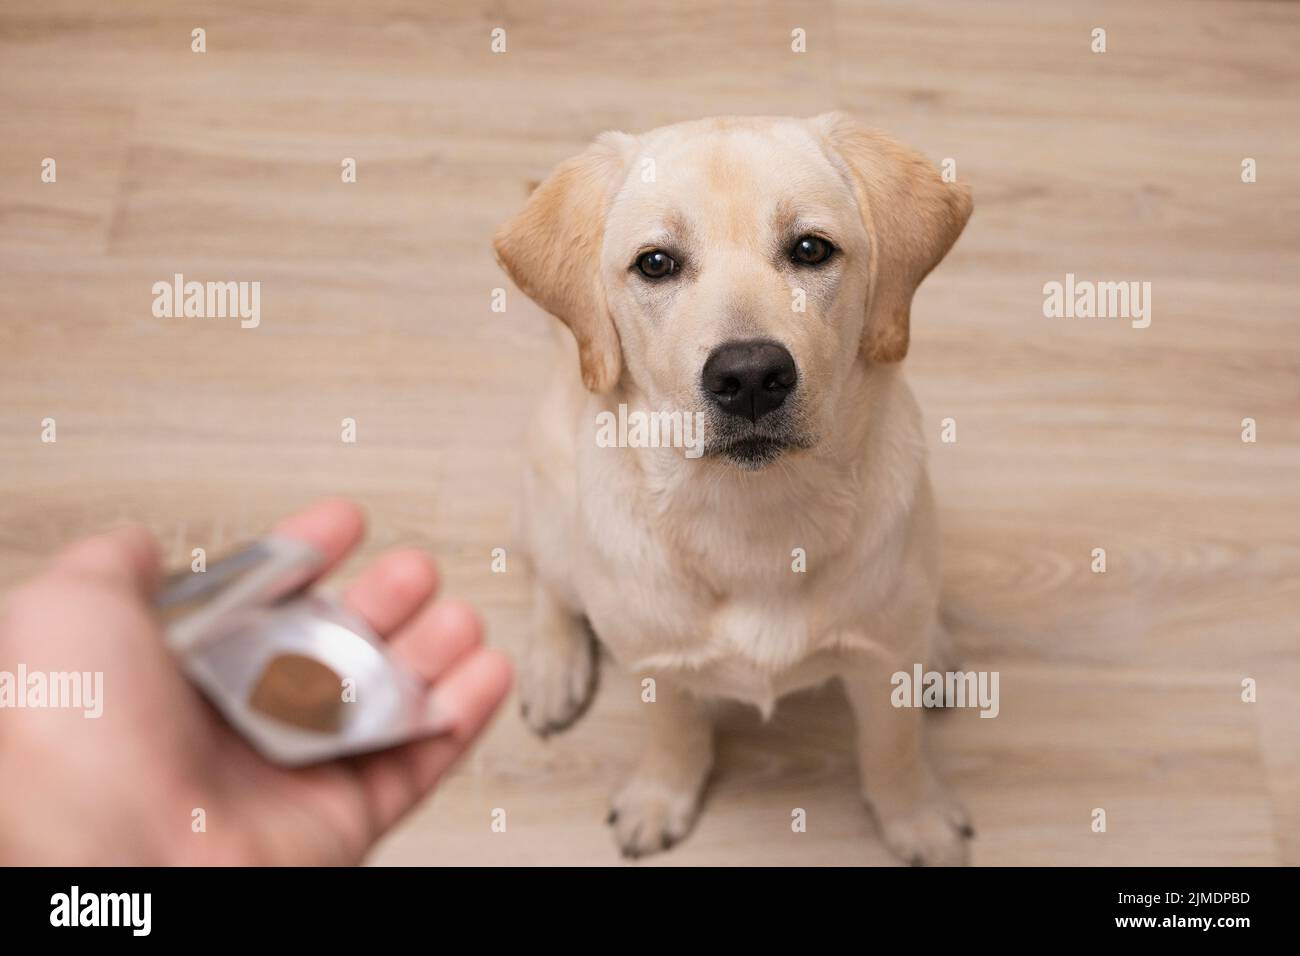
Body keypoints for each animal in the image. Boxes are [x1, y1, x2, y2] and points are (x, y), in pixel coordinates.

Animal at [491, 113, 972, 868]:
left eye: (810, 249)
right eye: (656, 263)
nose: (748, 376)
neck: (756, 518)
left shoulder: (880, 664)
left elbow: (892, 749)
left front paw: (915, 817)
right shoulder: (658, 663)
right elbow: (674, 733)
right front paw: (661, 796)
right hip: (551, 509)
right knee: (552, 584)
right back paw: (551, 667)